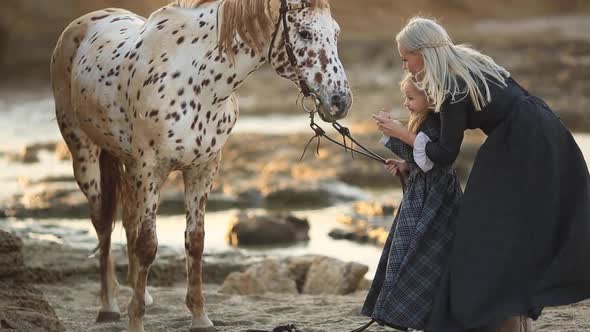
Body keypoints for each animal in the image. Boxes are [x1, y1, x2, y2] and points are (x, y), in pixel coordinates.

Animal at [51, 0, 352, 330]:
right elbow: (147, 245)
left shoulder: (202, 169)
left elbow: (194, 242)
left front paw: (199, 317)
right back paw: (109, 306)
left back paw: (140, 296)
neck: (197, 82)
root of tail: (84, 22)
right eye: (305, 32)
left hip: (128, 165)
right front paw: (136, 320)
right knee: (103, 223)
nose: (340, 101)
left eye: (336, 32)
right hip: (85, 155)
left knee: (128, 220)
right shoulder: (150, 169)